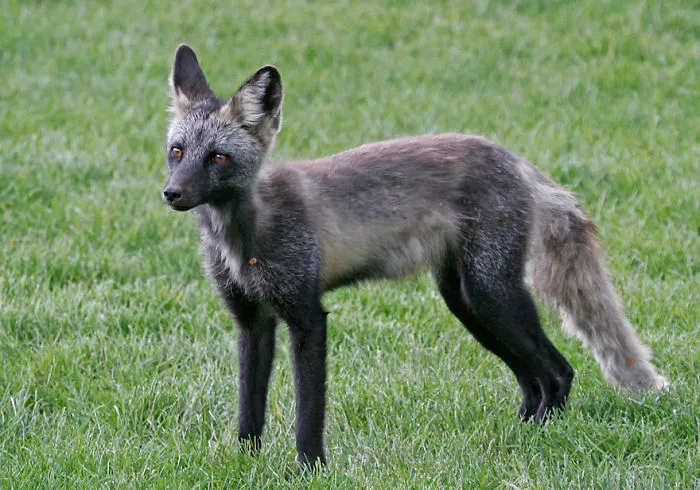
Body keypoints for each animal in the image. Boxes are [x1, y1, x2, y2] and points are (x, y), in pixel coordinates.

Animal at [161, 44, 668, 467]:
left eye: (218, 158)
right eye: (178, 152)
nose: (171, 193)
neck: (244, 241)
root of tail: (513, 157)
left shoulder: (308, 317)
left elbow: (308, 411)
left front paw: (309, 468)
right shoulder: (251, 323)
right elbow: (250, 409)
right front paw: (245, 463)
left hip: (492, 296)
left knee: (559, 373)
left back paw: (542, 437)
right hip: (466, 302)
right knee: (532, 379)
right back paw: (520, 433)